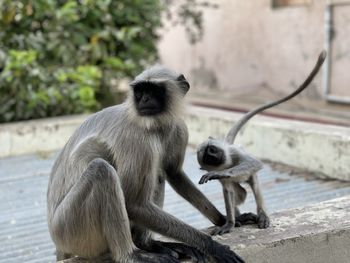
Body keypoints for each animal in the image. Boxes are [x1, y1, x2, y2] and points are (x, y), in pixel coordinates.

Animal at [46, 65, 245, 263]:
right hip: (69, 229)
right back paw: (131, 255)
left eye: (153, 90)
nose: (144, 99)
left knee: (157, 175)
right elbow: (133, 203)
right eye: (140, 91)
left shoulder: (178, 127)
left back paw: (148, 243)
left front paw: (224, 219)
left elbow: (174, 173)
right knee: (101, 170)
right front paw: (211, 246)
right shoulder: (137, 137)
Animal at [197, 50, 326, 236]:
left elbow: (254, 163)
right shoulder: (225, 176)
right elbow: (227, 190)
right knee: (239, 193)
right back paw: (238, 218)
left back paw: (261, 215)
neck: (227, 160)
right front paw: (229, 223)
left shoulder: (235, 153)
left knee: (254, 184)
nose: (213, 154)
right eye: (207, 157)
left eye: (211, 149)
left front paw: (221, 173)